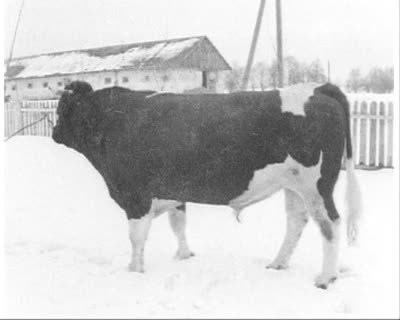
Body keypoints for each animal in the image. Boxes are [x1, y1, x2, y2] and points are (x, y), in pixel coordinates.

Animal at [53, 80, 362, 288]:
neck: (111, 120)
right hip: (294, 185)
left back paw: (325, 278)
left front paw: (135, 270)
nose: (54, 132)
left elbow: (137, 237)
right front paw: (184, 256)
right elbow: (178, 224)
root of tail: (317, 88)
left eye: (60, 109)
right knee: (297, 221)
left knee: (330, 225)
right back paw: (278, 264)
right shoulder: (173, 192)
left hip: (317, 186)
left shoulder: (134, 196)